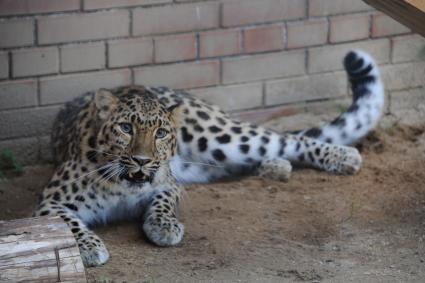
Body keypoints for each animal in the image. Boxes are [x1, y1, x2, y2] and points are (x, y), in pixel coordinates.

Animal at [34, 50, 384, 268]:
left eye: (161, 133)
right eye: (125, 128)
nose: (142, 160)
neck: (122, 186)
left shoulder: (169, 183)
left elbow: (162, 202)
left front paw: (164, 226)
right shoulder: (51, 203)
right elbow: (70, 226)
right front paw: (89, 247)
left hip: (219, 136)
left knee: (286, 138)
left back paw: (344, 157)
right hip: (208, 161)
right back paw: (276, 167)